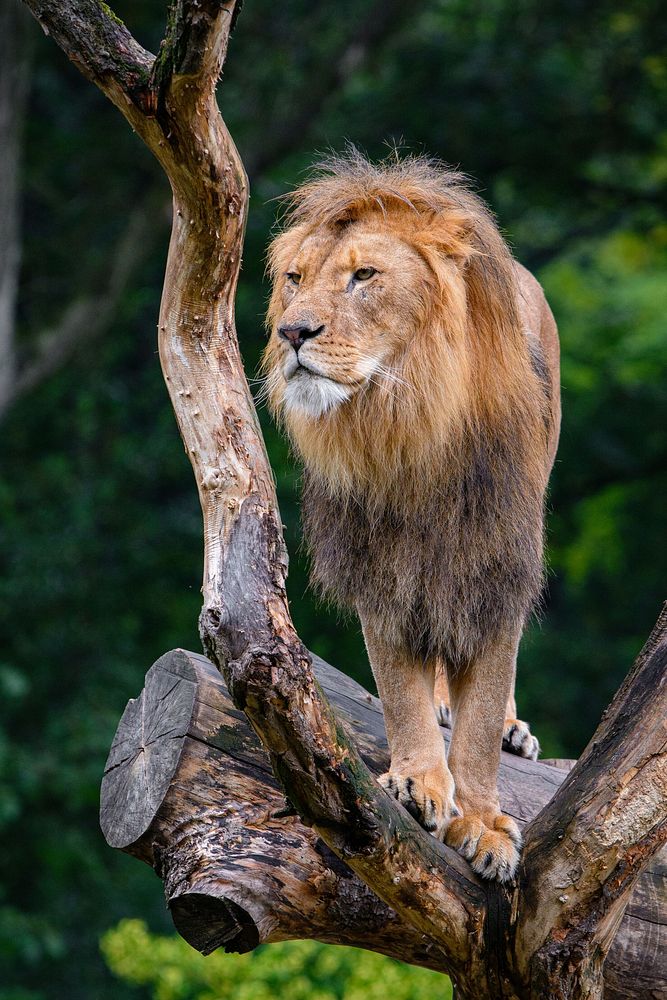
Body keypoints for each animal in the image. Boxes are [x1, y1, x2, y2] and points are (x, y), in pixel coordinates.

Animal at [264, 150, 560, 884]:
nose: (292, 332)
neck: (407, 427)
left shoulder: (498, 558)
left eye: (364, 276)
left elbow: (482, 708)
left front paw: (481, 821)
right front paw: (416, 782)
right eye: (294, 279)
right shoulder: (380, 567)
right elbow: (400, 687)